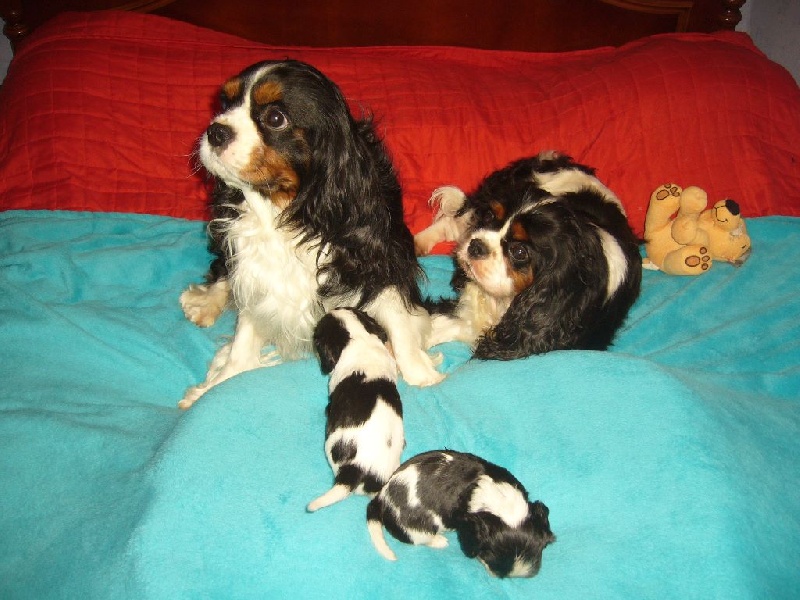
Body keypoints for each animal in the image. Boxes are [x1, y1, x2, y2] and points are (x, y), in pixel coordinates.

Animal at [178, 59, 444, 408]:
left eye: (276, 118)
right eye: (225, 103)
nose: (215, 130)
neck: (285, 214)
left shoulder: (380, 260)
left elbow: (399, 320)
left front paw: (422, 376)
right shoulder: (255, 271)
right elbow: (244, 335)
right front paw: (219, 382)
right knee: (222, 269)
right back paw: (205, 302)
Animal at [368, 450, 556, 576]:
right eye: (487, 555)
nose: (497, 574)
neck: (504, 504)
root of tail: (381, 498)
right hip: (420, 527)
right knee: (419, 538)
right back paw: (439, 541)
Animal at [416, 152, 640, 358]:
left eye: (519, 252)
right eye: (489, 217)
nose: (476, 246)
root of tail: (551, 157)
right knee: (452, 223)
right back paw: (417, 242)